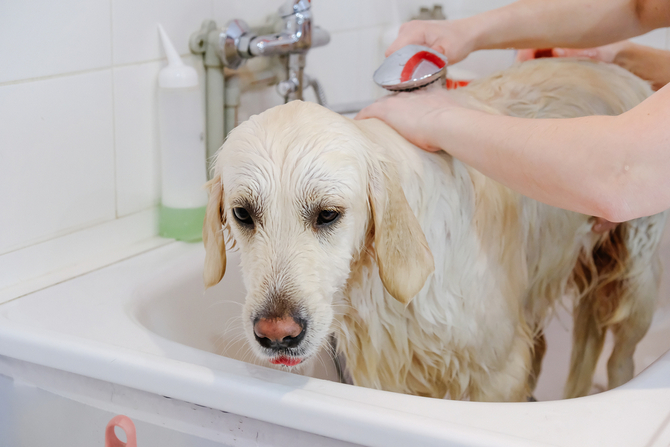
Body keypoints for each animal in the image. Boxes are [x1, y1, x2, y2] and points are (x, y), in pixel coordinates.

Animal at [203, 59, 668, 402]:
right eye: (243, 214)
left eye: (328, 214)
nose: (277, 334)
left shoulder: (498, 373)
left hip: (637, 283)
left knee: (620, 356)